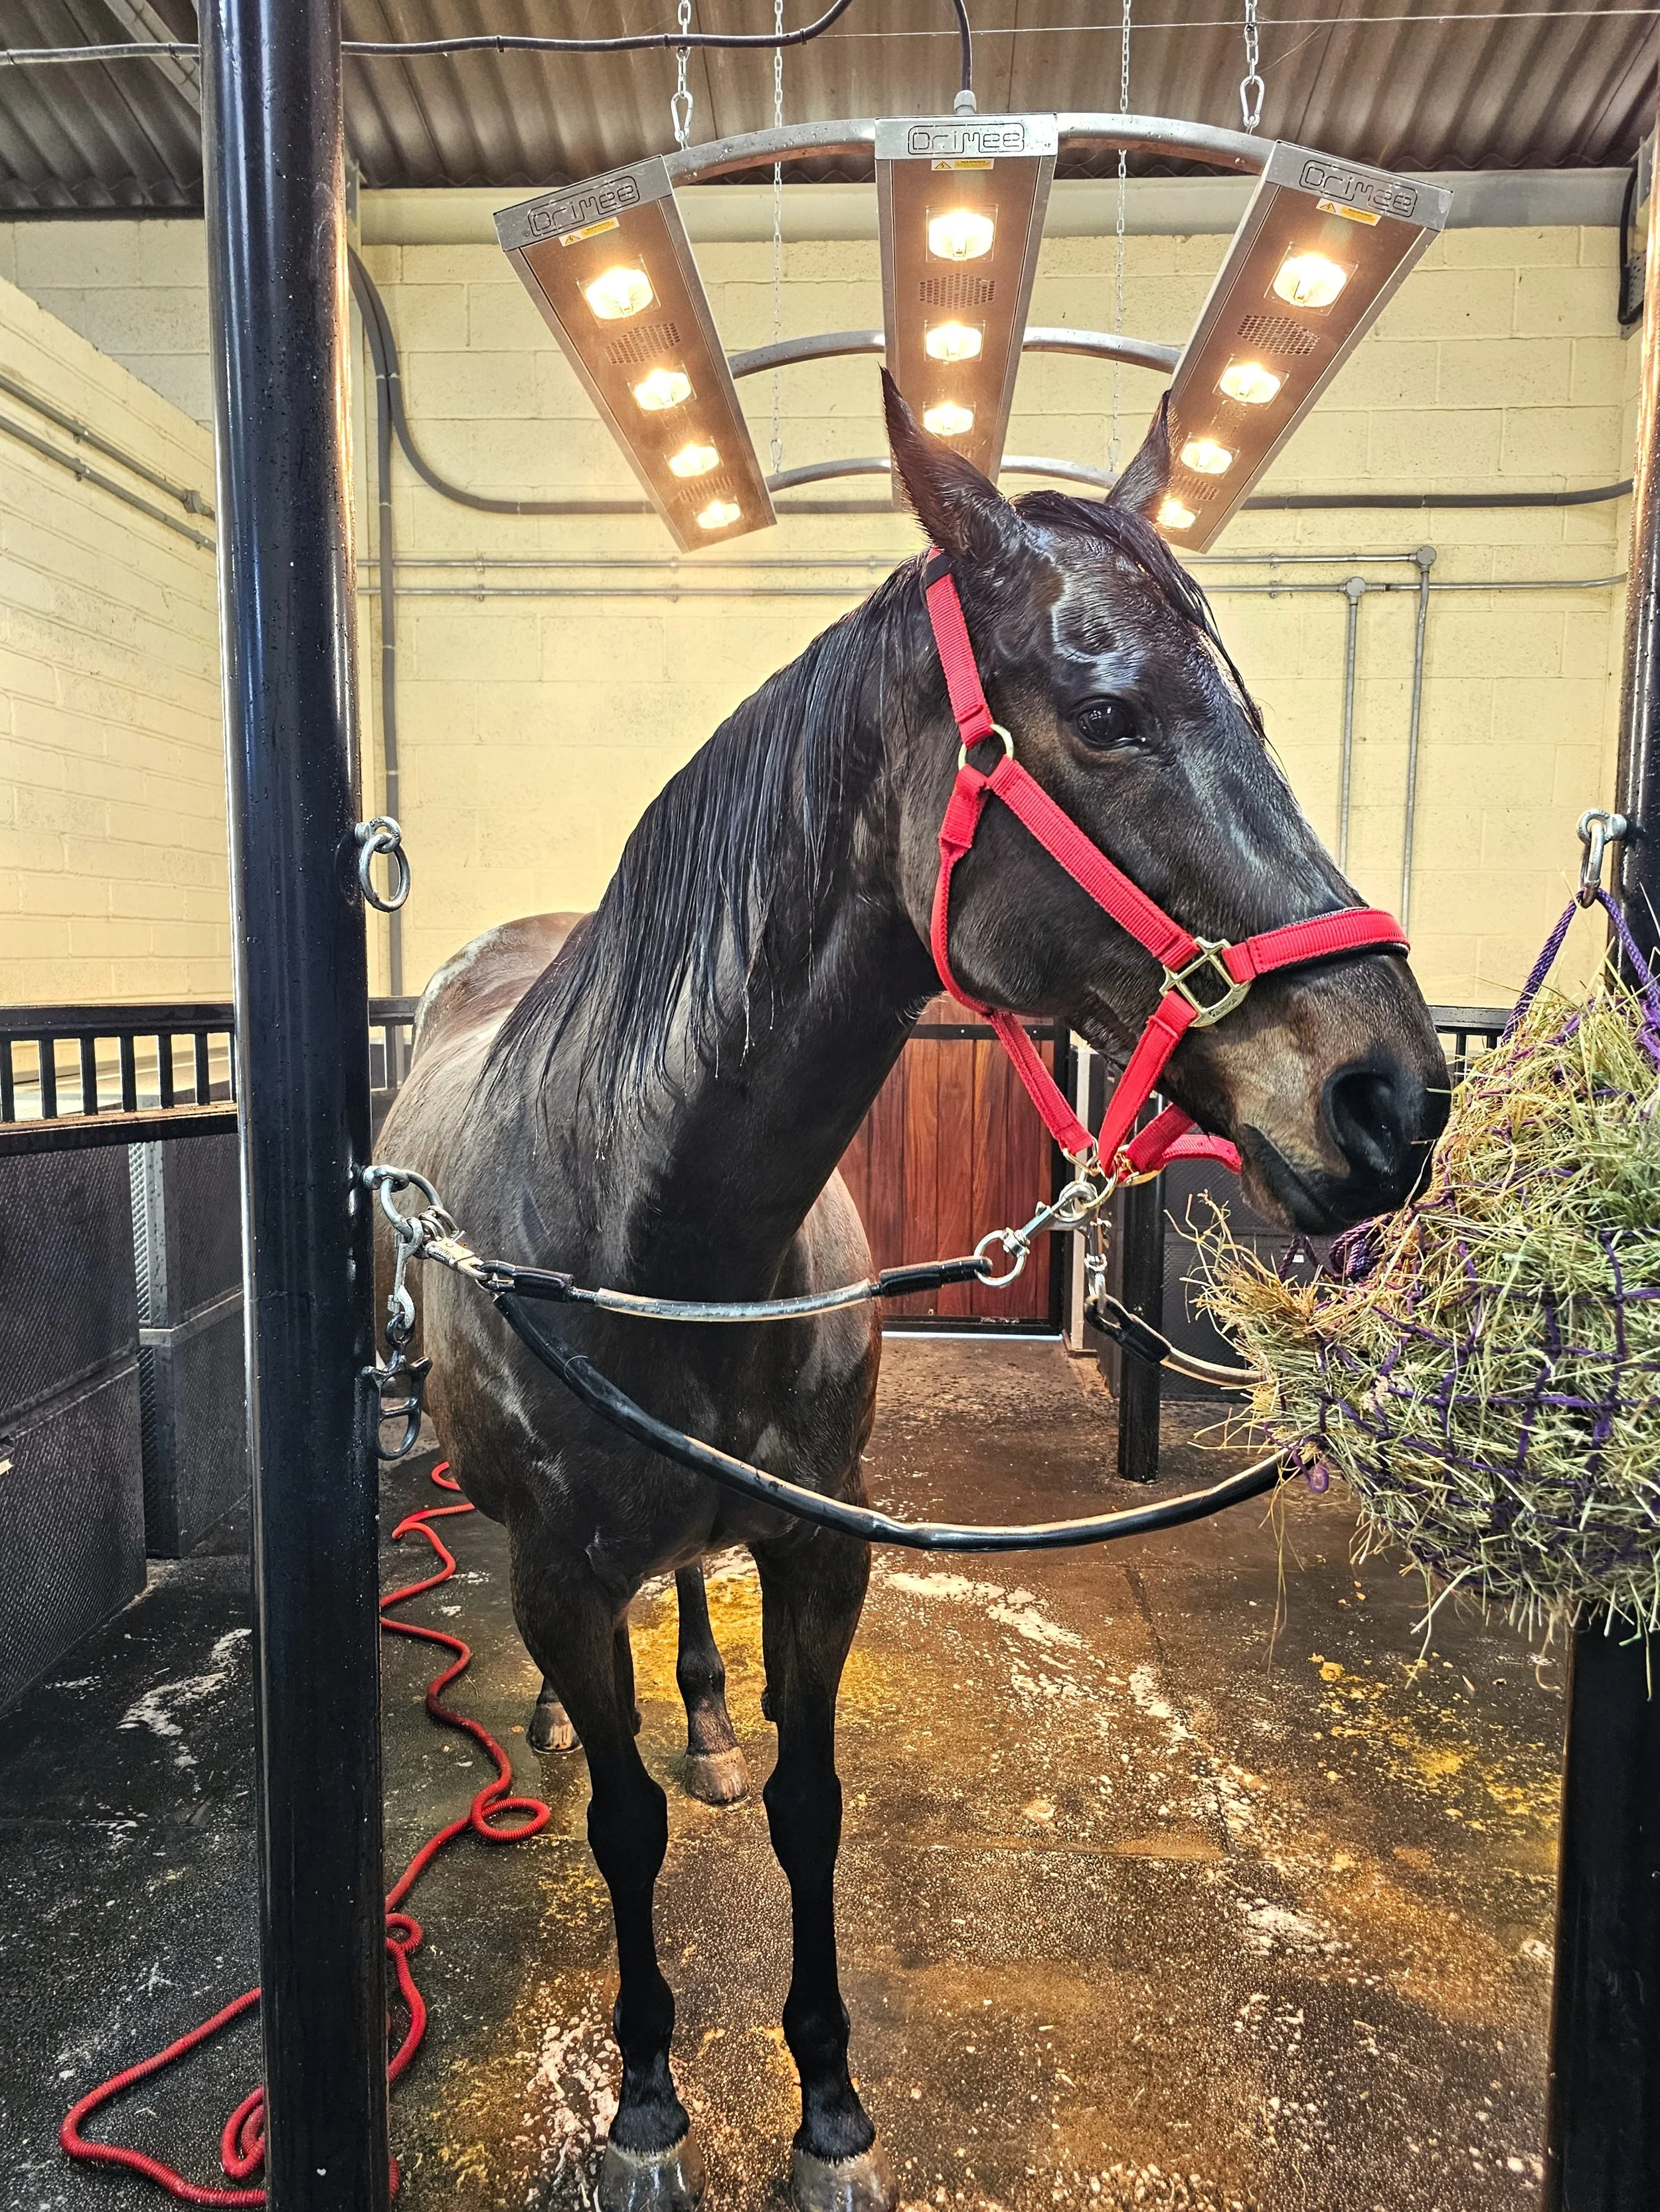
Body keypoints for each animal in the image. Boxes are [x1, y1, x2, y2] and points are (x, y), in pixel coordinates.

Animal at [376, 377, 1448, 2212]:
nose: (1392, 1095)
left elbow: (809, 1800)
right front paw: (648, 2102)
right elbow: (620, 1826)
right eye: (1105, 713)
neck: (656, 1240)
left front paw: (826, 2107)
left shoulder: (822, 1545)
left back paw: (704, 1719)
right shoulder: (569, 1579)